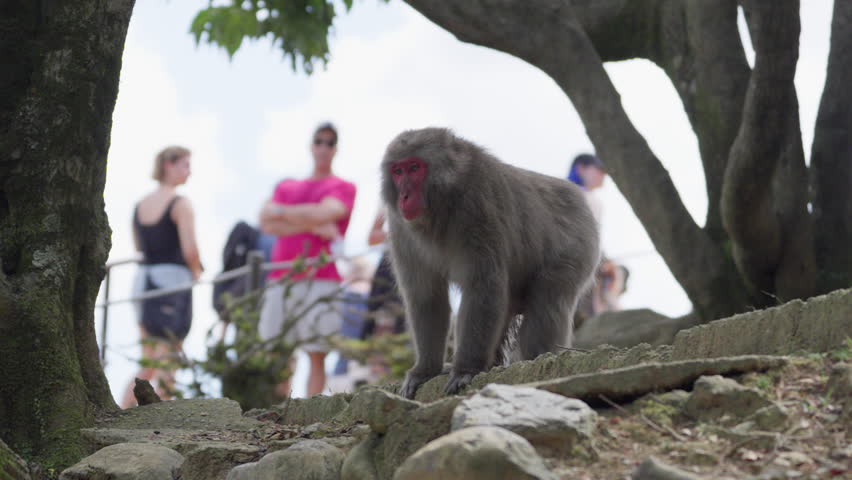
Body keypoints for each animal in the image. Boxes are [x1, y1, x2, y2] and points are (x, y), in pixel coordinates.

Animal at [381, 128, 600, 398]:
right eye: (398, 171)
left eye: (414, 168)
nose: (404, 196)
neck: (442, 205)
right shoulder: (401, 228)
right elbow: (427, 297)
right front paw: (424, 370)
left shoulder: (478, 207)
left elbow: (483, 285)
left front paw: (465, 370)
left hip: (579, 243)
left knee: (549, 296)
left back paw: (538, 359)